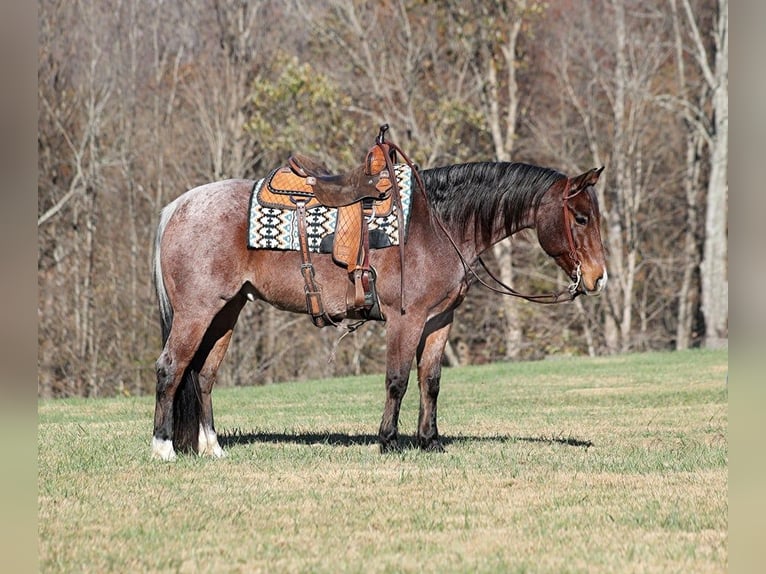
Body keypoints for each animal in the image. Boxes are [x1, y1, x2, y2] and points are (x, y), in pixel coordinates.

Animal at [150, 159, 608, 461]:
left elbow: (430, 381)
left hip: (226, 312)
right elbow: (397, 380)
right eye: (581, 218)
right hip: (196, 312)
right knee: (170, 368)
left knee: (204, 375)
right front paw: (388, 440)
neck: (437, 225)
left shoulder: (439, 321)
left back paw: (213, 448)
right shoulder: (406, 320)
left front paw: (430, 441)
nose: (598, 278)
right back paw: (163, 447)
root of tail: (177, 207)